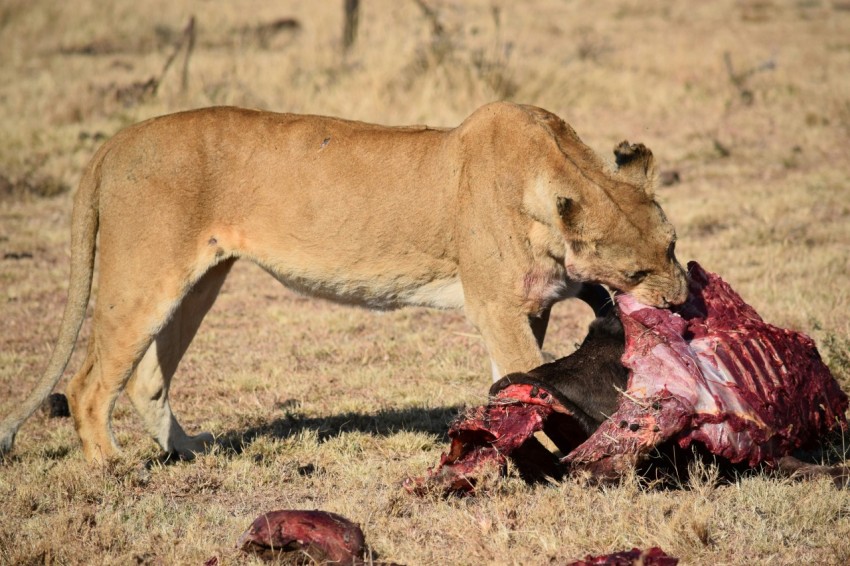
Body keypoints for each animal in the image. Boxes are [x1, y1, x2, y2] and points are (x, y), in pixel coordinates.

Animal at [0, 102, 687, 463]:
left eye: (674, 245)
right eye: (635, 272)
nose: (683, 301)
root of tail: (117, 140)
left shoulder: (530, 303)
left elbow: (518, 378)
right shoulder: (495, 305)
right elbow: (525, 375)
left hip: (199, 284)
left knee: (145, 378)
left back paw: (192, 451)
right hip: (143, 279)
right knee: (89, 385)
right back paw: (116, 467)